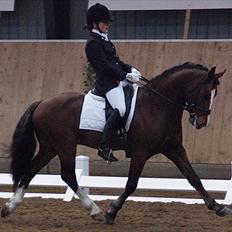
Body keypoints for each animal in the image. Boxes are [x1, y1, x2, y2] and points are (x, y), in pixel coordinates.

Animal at [0, 62, 231, 223]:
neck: (158, 105)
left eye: (216, 94)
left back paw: (10, 206)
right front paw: (111, 212)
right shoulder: (140, 152)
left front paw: (218, 207)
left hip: (51, 146)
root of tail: (42, 102)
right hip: (64, 144)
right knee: (67, 175)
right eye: (205, 93)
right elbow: (131, 184)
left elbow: (194, 178)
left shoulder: (174, 148)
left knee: (31, 170)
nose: (201, 122)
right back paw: (95, 211)